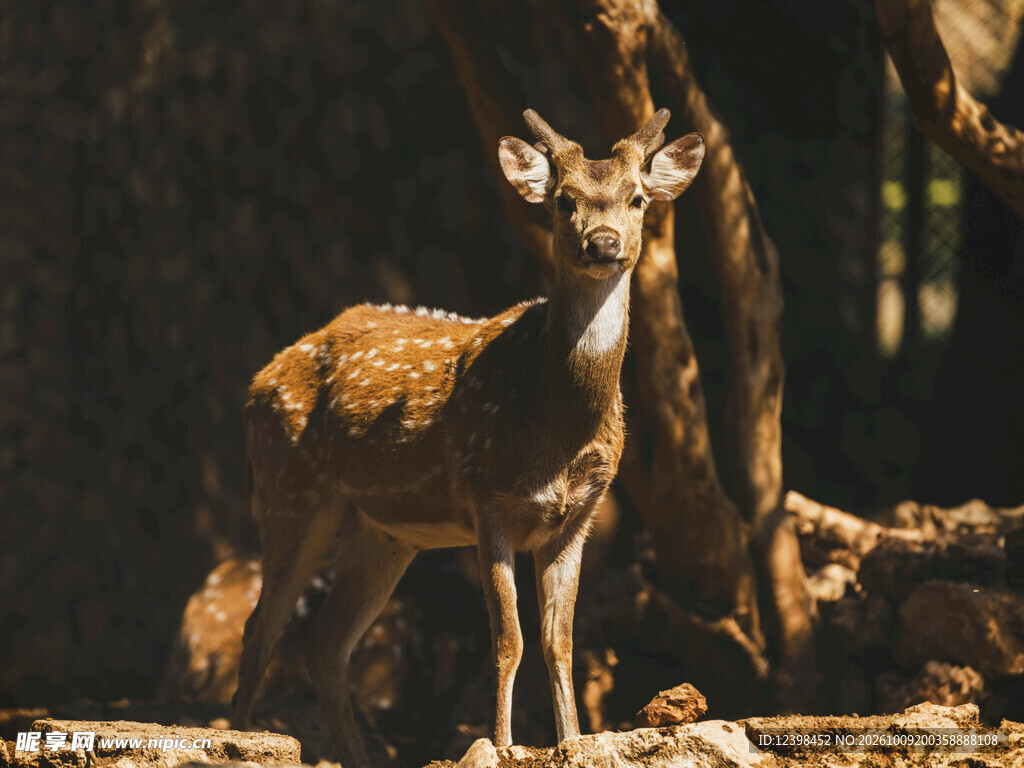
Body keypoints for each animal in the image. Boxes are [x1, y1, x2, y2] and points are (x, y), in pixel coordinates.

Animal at [231, 108, 705, 767]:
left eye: (637, 199)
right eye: (563, 200)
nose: (604, 243)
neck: (557, 431)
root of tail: (257, 382)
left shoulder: (580, 515)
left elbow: (561, 641)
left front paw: (573, 741)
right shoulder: (488, 497)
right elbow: (509, 639)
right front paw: (503, 745)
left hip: (382, 531)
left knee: (324, 643)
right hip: (287, 489)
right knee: (262, 628)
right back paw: (240, 739)